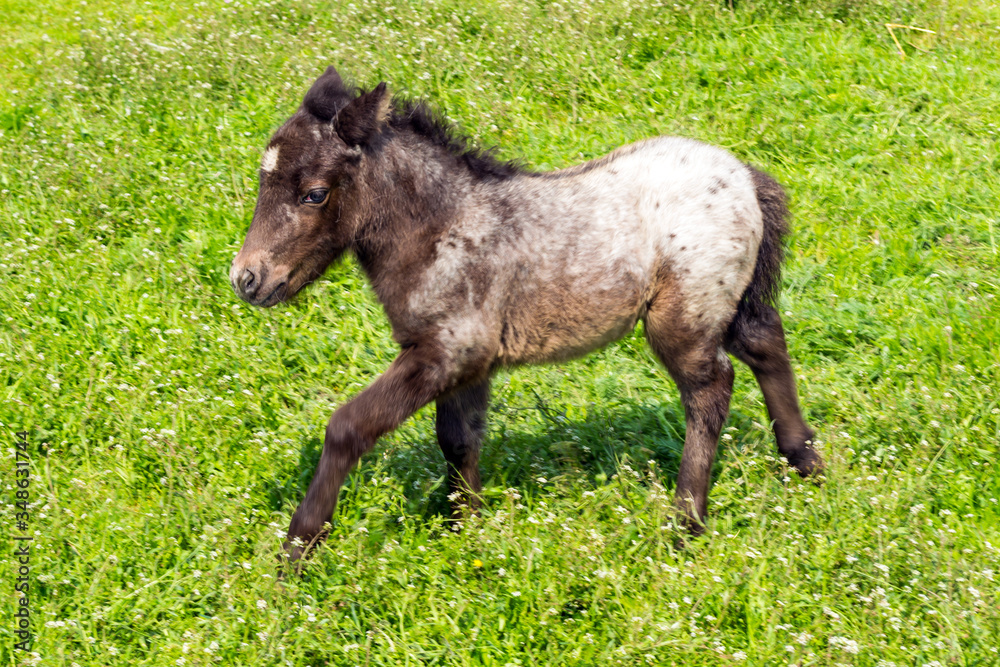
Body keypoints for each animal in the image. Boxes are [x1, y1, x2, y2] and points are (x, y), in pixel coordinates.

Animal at [230, 68, 824, 568]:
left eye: (314, 193)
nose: (246, 278)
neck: (439, 230)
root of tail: (743, 175)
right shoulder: (467, 365)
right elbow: (459, 438)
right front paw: (465, 532)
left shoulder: (444, 354)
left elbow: (349, 426)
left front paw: (296, 548)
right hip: (732, 304)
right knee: (766, 342)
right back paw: (805, 460)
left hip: (682, 318)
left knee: (711, 389)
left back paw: (685, 523)